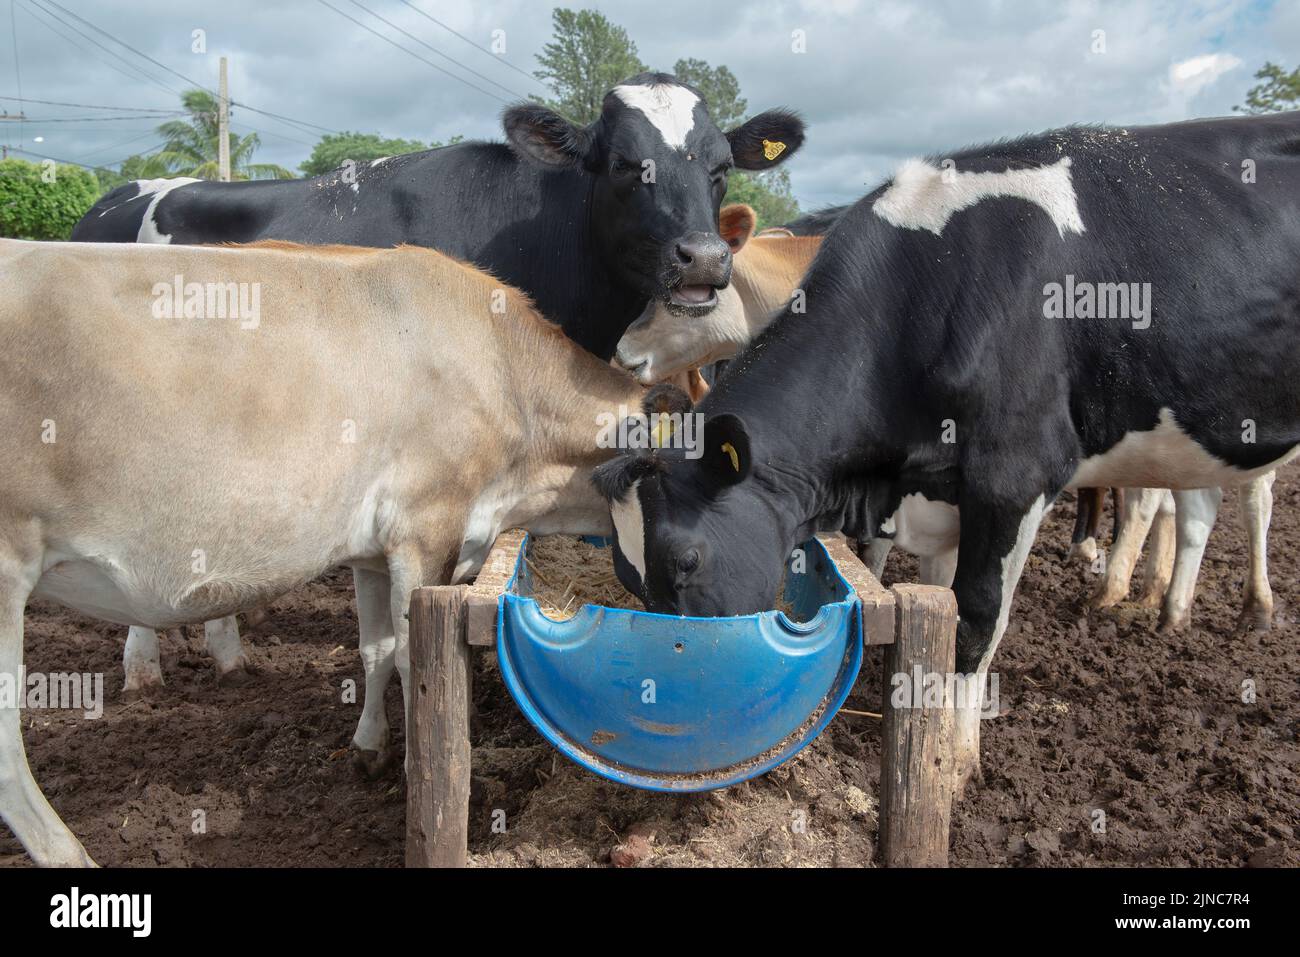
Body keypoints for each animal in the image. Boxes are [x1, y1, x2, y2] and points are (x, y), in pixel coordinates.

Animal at [0, 237, 646, 865]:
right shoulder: (426, 525)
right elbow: (417, 661)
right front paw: (424, 780)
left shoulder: (372, 550)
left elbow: (376, 650)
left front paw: (369, 749)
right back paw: (71, 856)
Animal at [70, 73, 806, 691]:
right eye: (626, 164)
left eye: (719, 168)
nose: (703, 259)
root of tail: (115, 197)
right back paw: (142, 666)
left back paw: (226, 652)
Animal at [591, 113, 1300, 794]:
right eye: (627, 575)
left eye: (686, 560)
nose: (672, 690)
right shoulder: (937, 491)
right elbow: (938, 600)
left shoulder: (1013, 478)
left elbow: (976, 621)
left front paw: (955, 764)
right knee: (1200, 509)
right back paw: (1169, 611)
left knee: (1240, 502)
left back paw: (1244, 608)